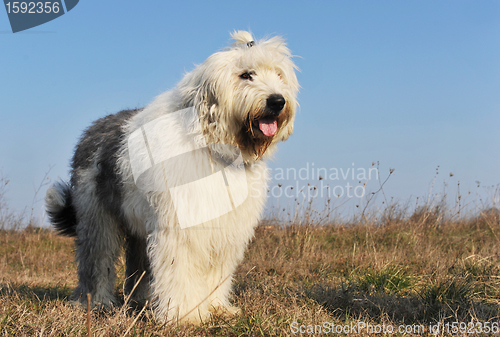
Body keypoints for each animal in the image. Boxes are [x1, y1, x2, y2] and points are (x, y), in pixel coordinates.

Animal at [45, 30, 298, 322]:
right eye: (246, 74)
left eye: (279, 74)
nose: (277, 101)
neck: (210, 145)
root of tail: (93, 127)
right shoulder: (181, 227)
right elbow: (181, 269)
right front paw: (186, 315)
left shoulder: (224, 230)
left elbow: (215, 272)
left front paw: (216, 307)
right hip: (96, 217)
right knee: (97, 259)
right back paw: (96, 301)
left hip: (139, 224)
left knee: (139, 264)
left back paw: (141, 300)